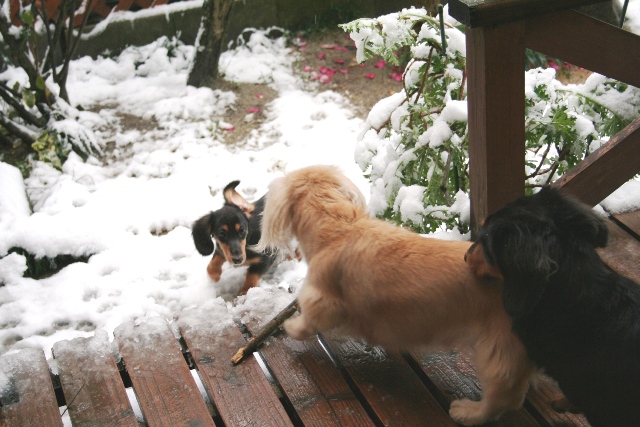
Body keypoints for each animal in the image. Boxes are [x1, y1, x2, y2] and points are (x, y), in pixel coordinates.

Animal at [258, 166, 536, 426]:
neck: (340, 228)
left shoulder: (323, 300)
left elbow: (308, 321)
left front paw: (291, 326)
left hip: (499, 352)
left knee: (503, 398)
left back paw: (468, 412)